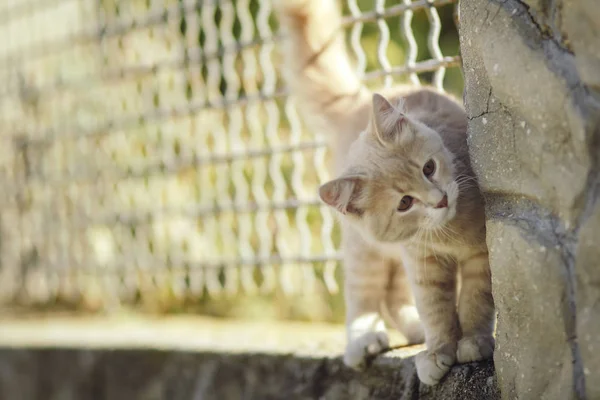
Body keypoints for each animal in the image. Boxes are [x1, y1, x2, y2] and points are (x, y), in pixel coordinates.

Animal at [274, 0, 494, 384]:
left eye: (428, 168)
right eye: (405, 203)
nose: (440, 199)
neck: (449, 231)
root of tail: (357, 103)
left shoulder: (478, 255)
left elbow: (475, 299)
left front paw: (473, 342)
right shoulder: (422, 260)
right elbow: (435, 308)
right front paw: (439, 350)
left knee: (393, 295)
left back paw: (413, 329)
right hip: (365, 250)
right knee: (366, 294)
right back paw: (364, 339)